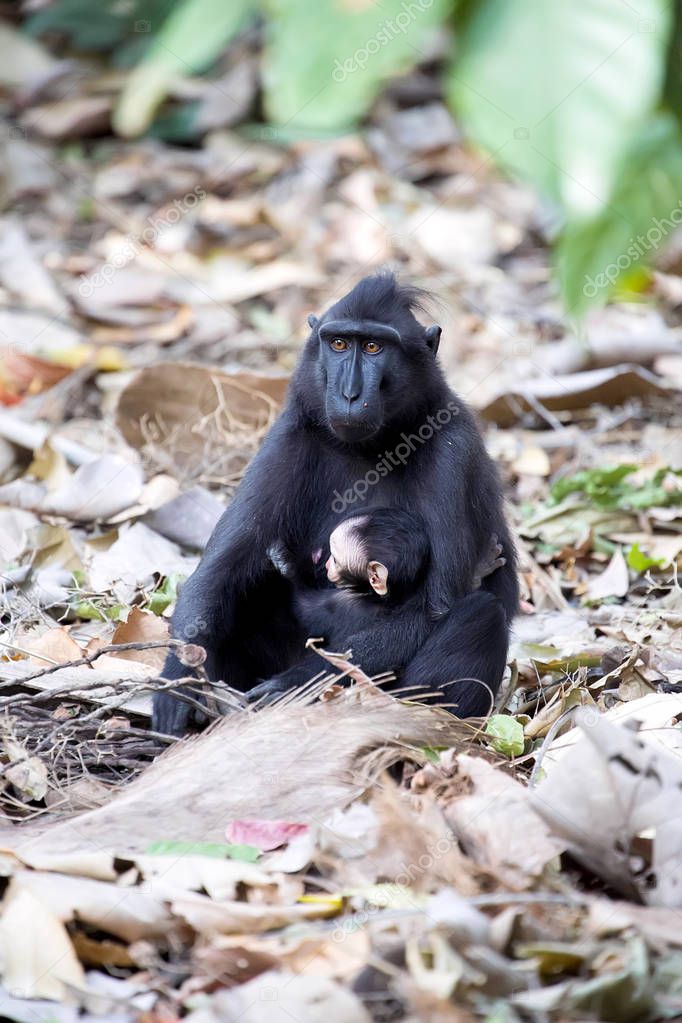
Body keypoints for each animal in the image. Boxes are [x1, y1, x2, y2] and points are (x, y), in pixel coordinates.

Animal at [154, 274, 517, 736]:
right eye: (340, 344)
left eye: (375, 347)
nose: (349, 393)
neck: (374, 447)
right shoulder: (289, 434)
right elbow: (219, 573)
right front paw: (175, 679)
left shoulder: (454, 450)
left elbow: (434, 608)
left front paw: (295, 686)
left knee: (481, 613)